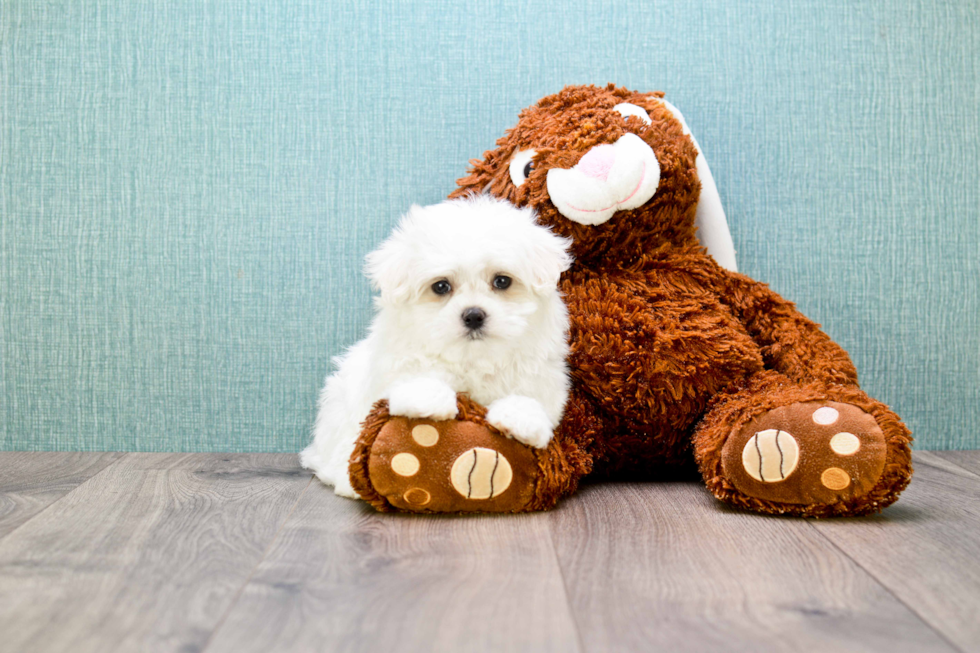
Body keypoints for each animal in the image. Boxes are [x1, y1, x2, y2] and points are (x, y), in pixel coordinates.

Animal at [300, 196, 576, 496]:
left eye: (502, 281)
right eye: (441, 286)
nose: (473, 315)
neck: (474, 359)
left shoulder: (540, 374)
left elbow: (532, 398)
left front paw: (520, 418)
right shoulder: (397, 362)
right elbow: (416, 376)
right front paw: (430, 399)